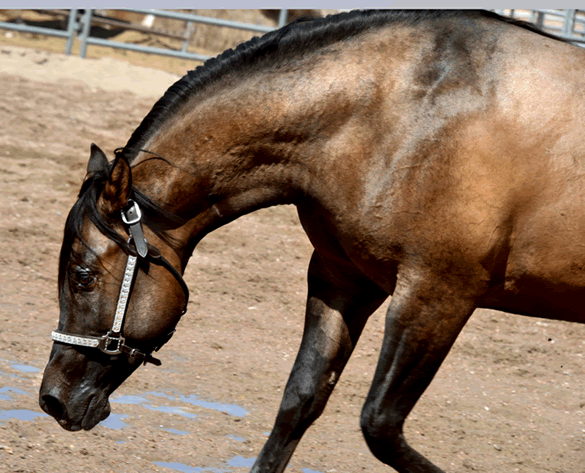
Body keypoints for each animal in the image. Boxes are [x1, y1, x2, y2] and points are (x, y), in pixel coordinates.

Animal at [40, 11, 584, 472]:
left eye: (83, 276)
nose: (51, 399)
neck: (403, 113)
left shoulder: (436, 295)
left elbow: (380, 424)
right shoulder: (343, 280)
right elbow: (300, 401)